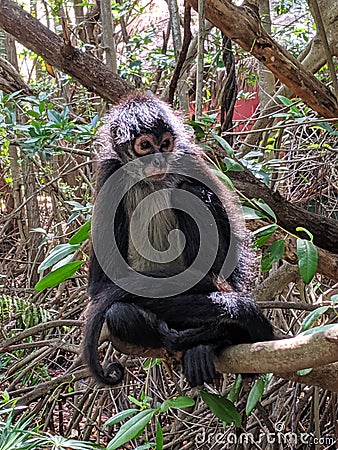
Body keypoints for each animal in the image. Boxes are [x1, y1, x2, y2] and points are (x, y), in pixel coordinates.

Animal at [82, 91, 274, 386]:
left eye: (165, 144)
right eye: (145, 146)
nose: (159, 160)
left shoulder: (187, 156)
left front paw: (238, 313)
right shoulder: (109, 172)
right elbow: (101, 287)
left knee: (191, 192)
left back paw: (212, 340)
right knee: (119, 313)